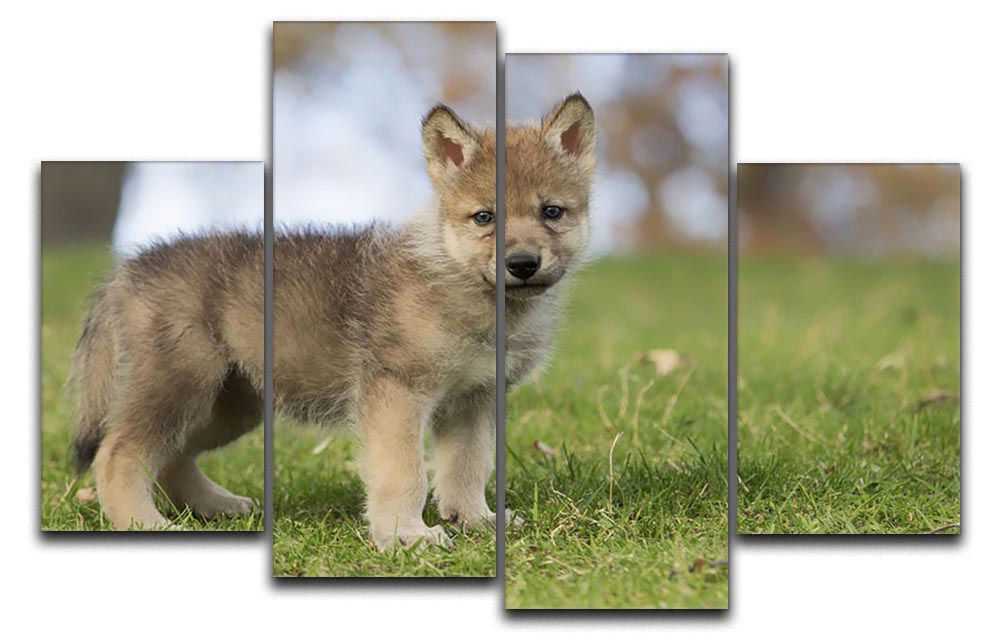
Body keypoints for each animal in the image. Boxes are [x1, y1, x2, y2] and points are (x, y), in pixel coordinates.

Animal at [70, 94, 596, 549]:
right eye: (484, 217)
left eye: (552, 211)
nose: (522, 263)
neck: (464, 287)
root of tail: (129, 270)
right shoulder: (397, 392)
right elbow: (404, 472)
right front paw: (407, 536)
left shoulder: (473, 398)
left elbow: (467, 468)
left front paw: (475, 521)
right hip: (182, 384)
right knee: (118, 454)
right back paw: (145, 523)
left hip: (230, 402)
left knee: (171, 457)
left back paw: (215, 507)